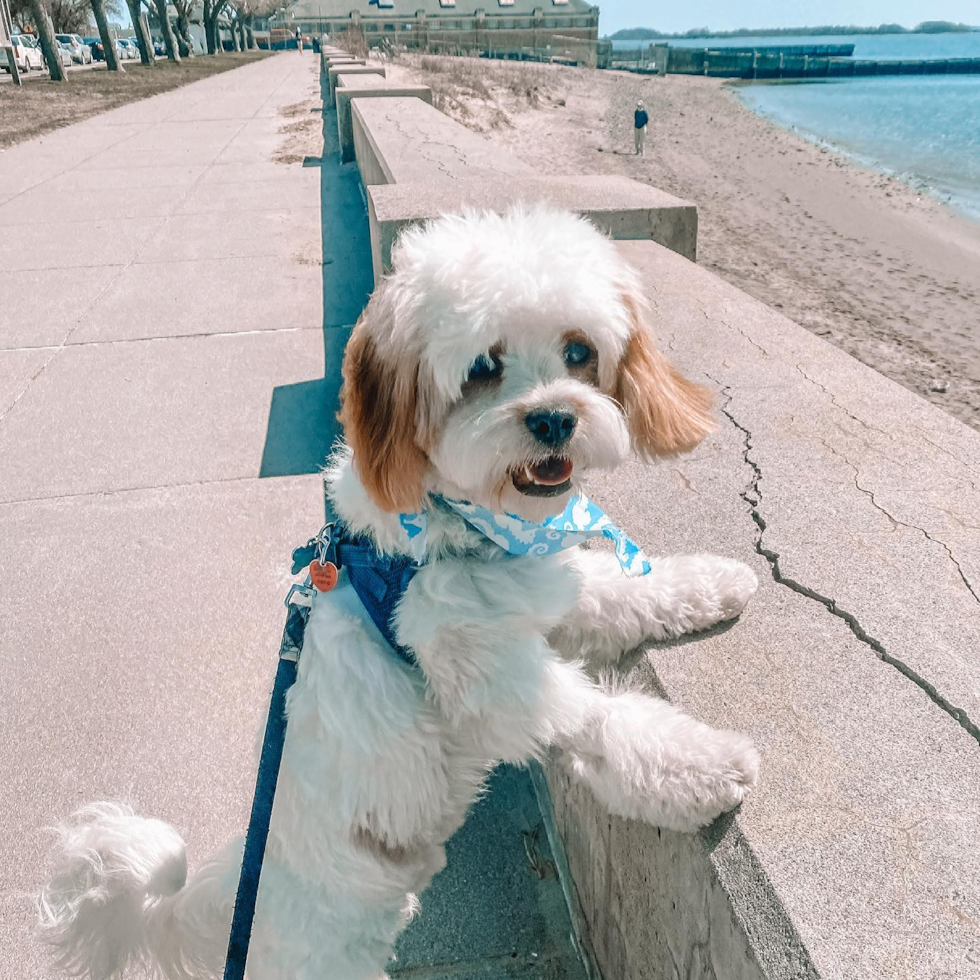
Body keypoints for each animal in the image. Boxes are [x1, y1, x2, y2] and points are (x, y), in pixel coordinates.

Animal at [36, 207, 756, 980]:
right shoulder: (484, 672)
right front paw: (704, 771)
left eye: (579, 351)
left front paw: (716, 582)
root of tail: (228, 896)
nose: (555, 418)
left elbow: (622, 592)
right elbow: (596, 720)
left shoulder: (534, 592)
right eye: (482, 368)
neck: (453, 529)